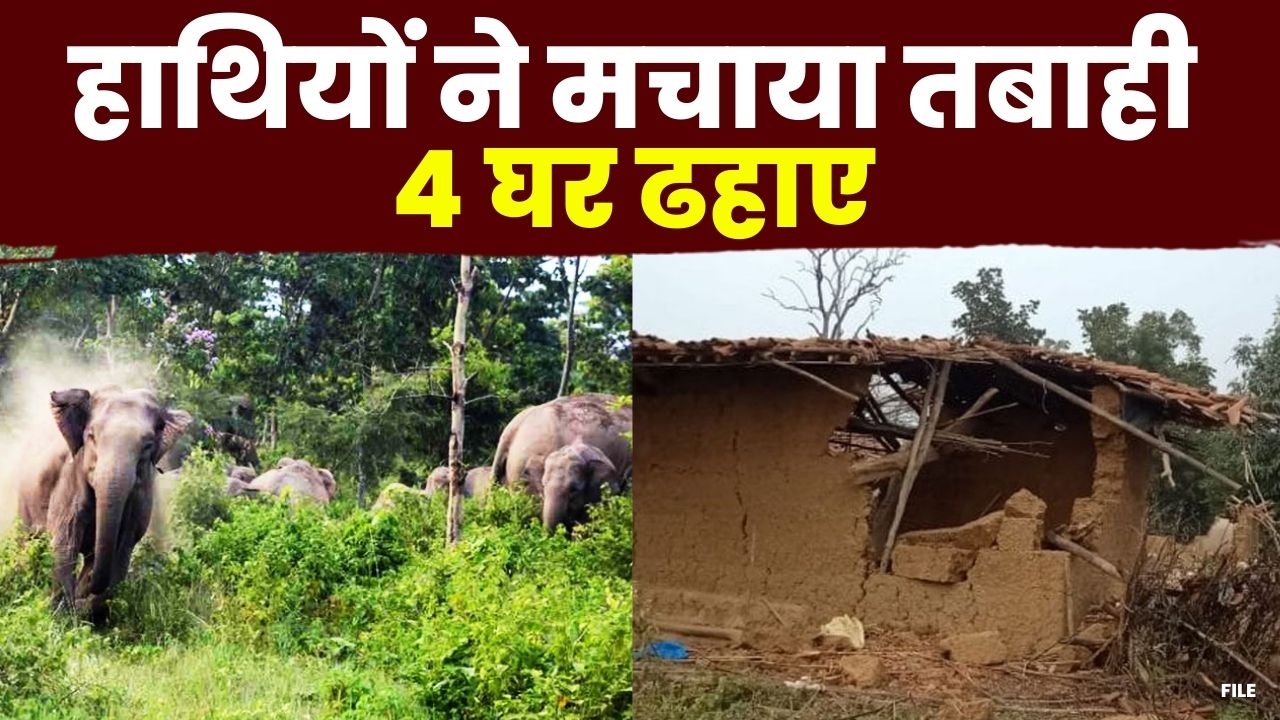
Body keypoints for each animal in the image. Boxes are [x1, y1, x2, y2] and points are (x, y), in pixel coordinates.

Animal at [17, 386, 191, 623]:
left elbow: (122, 548)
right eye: (91, 436)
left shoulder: (140, 498)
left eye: (147, 446)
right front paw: (63, 618)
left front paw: (85, 609)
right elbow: (65, 541)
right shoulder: (69, 479)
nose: (82, 595)